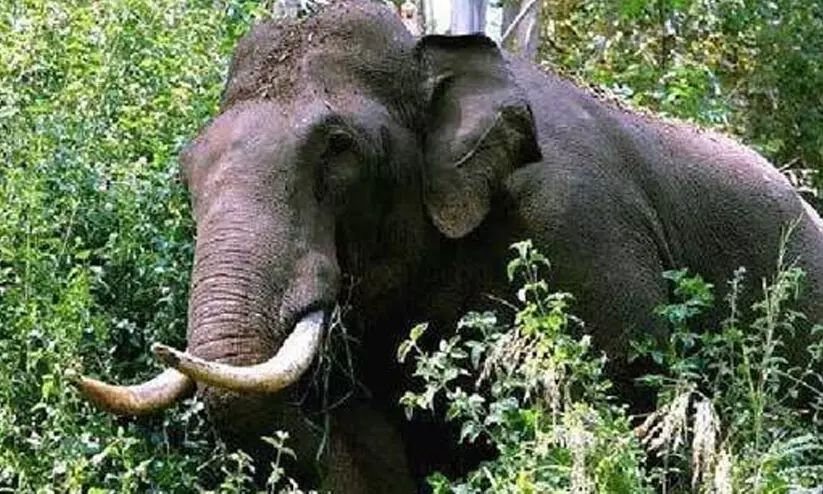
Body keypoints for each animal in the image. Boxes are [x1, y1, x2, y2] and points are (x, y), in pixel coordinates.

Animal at [75, 0, 823, 492]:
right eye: (187, 166)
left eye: (339, 149)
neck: (428, 56)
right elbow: (370, 447)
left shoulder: (586, 232)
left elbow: (632, 403)